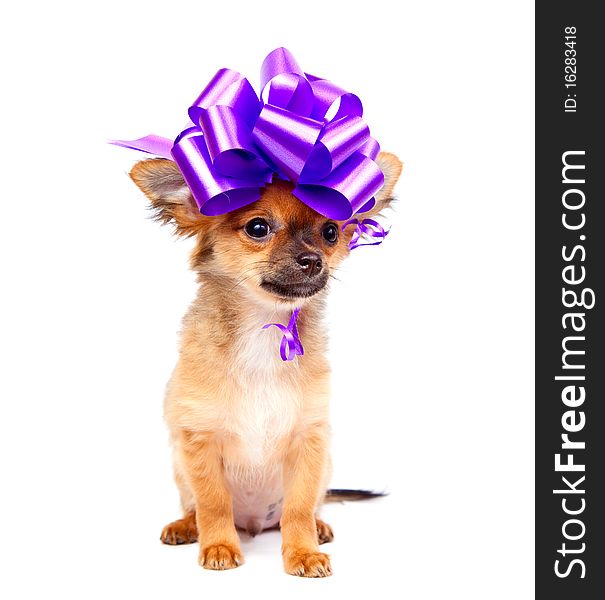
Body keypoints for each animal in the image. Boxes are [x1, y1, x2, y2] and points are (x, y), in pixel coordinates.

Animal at [127, 154, 402, 576]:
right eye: (258, 228)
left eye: (330, 232)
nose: (313, 261)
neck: (263, 329)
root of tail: (255, 523)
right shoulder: (199, 438)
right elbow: (213, 502)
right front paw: (219, 546)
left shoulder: (309, 440)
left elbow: (299, 507)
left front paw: (303, 552)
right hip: (179, 465)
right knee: (193, 506)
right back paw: (186, 526)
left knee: (308, 506)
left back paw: (319, 527)